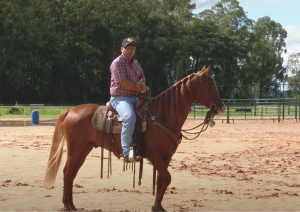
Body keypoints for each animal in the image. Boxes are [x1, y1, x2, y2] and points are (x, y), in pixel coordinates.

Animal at [42, 65, 225, 211]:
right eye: (209, 85)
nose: (221, 107)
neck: (160, 116)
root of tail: (70, 111)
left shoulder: (166, 156)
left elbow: (162, 179)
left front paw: (158, 205)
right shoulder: (154, 154)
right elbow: (166, 177)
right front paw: (156, 207)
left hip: (85, 148)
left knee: (72, 173)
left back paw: (72, 204)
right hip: (75, 148)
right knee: (67, 172)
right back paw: (66, 205)